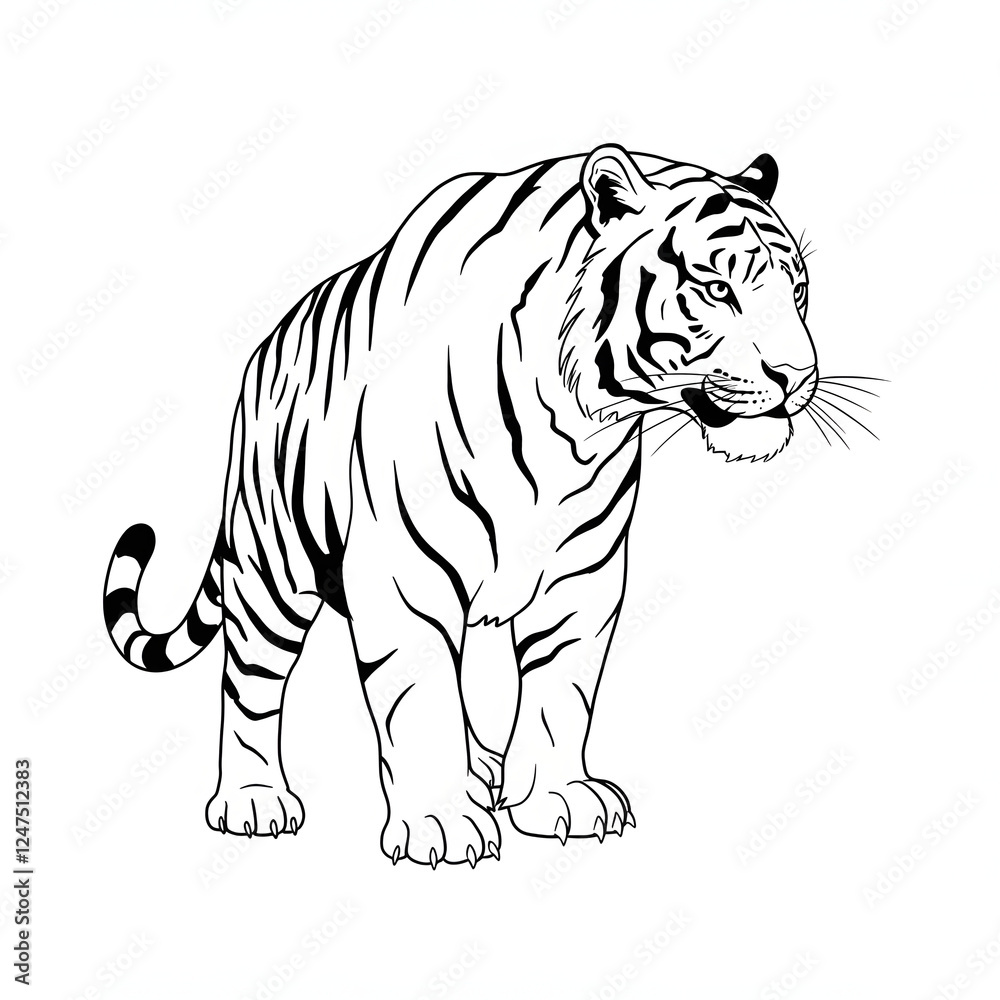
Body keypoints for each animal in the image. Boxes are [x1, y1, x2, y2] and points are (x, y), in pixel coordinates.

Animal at [103, 143, 822, 867]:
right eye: (717, 290)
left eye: (797, 291)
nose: (798, 377)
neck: (574, 430)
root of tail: (264, 346)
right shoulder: (405, 578)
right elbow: (420, 702)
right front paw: (440, 823)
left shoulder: (582, 580)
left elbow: (560, 696)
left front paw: (559, 798)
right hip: (271, 568)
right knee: (249, 684)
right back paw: (255, 801)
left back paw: (487, 775)